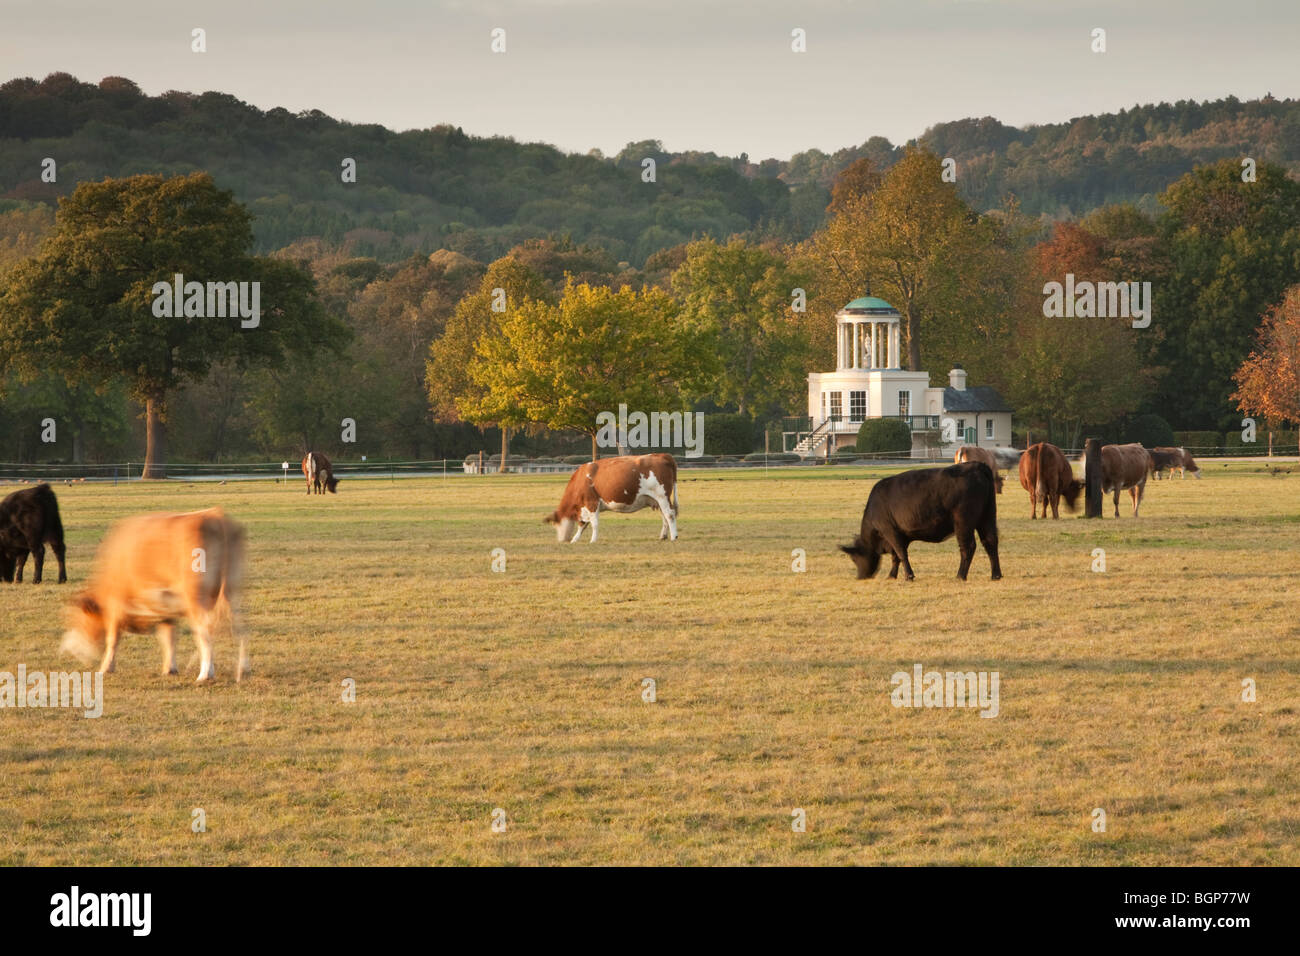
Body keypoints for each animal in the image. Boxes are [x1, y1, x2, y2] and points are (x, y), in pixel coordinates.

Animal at [59, 509, 245, 681]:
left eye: (78, 621)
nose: (69, 650)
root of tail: (214, 514)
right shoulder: (165, 610)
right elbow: (169, 638)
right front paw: (170, 668)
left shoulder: (115, 607)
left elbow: (112, 639)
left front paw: (106, 667)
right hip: (232, 592)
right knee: (241, 628)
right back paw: (243, 669)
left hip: (196, 599)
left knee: (205, 631)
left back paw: (205, 674)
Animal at [543, 455, 681, 541]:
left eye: (555, 524)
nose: (561, 540)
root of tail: (662, 455)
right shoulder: (585, 507)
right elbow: (582, 524)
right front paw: (575, 539)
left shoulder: (591, 503)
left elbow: (594, 523)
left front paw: (593, 540)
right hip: (657, 500)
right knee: (664, 516)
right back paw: (663, 536)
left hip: (662, 496)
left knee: (670, 515)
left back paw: (674, 536)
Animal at [837, 460, 998, 580]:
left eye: (854, 558)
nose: (860, 577)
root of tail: (976, 465)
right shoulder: (901, 535)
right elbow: (896, 556)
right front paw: (892, 575)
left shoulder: (890, 531)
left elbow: (901, 553)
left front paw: (909, 576)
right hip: (987, 517)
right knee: (990, 541)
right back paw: (996, 575)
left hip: (963, 522)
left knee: (968, 547)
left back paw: (960, 576)